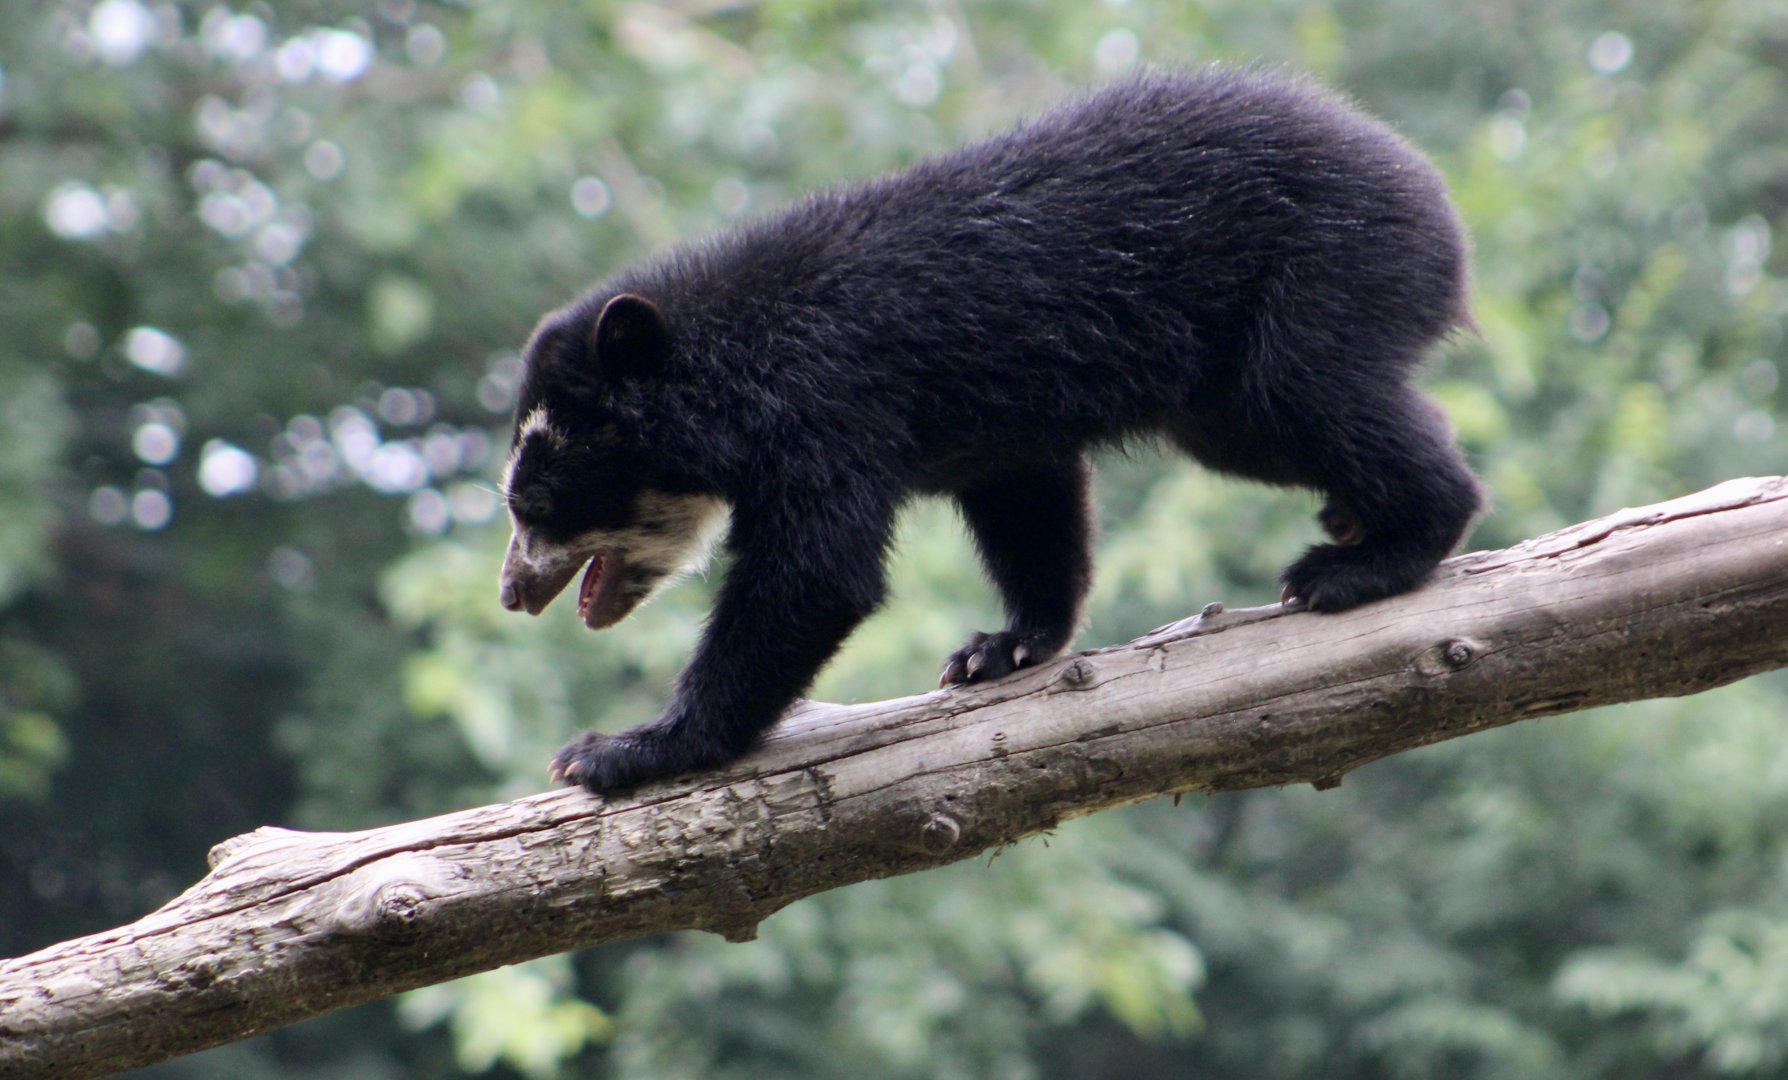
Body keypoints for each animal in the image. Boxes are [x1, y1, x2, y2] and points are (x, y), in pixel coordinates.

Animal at [497, 66, 1483, 793]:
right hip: (1229, 388)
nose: (513, 593)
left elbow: (814, 578)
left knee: (1312, 396)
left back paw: (1362, 562)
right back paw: (1351, 521)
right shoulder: (994, 436)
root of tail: (1431, 195)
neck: (726, 362)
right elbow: (1031, 507)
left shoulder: (828, 413)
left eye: (536, 503)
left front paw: (616, 751)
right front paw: (1002, 649)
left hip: (1323, 273)